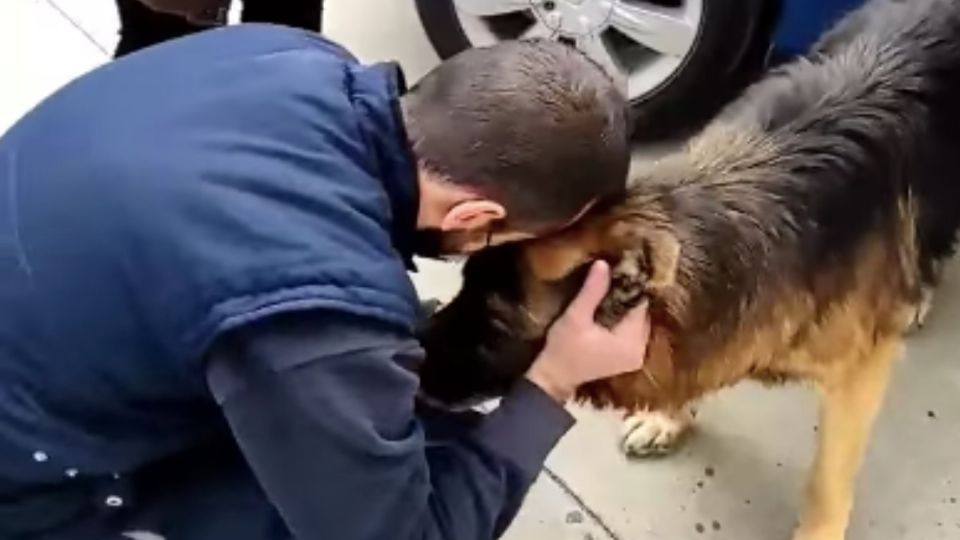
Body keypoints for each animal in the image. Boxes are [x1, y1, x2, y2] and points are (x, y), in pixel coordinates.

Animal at [416, 2, 960, 536]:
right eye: (464, 284)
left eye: (498, 318)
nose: (411, 367)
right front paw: (668, 418)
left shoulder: (860, 374)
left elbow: (824, 482)